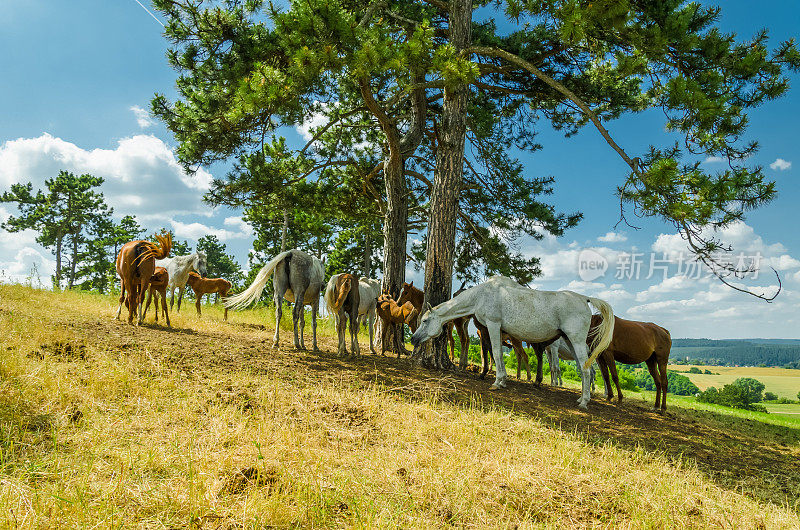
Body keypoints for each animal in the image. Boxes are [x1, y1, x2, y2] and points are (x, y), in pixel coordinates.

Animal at [412, 274, 612, 410]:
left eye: (425, 321)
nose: (413, 339)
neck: (483, 294)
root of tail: (584, 298)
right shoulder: (500, 331)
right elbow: (498, 355)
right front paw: (503, 381)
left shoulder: (493, 325)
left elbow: (495, 352)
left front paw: (497, 382)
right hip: (570, 341)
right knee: (585, 369)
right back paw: (581, 398)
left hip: (576, 340)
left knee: (585, 370)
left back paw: (584, 402)